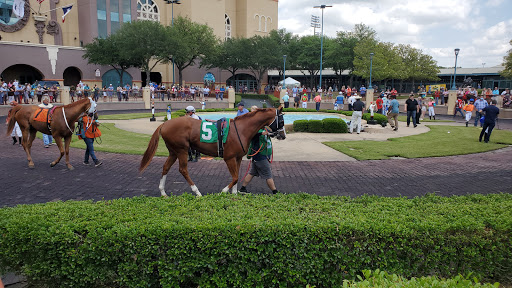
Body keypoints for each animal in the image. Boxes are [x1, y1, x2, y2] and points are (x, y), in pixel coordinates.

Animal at [138, 107, 286, 197]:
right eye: (282, 121)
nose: (283, 135)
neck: (241, 129)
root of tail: (165, 124)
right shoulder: (229, 157)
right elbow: (235, 177)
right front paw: (223, 191)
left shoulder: (237, 158)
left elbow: (237, 176)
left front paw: (234, 193)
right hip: (182, 150)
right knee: (183, 169)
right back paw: (197, 192)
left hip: (173, 151)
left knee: (165, 167)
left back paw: (163, 192)